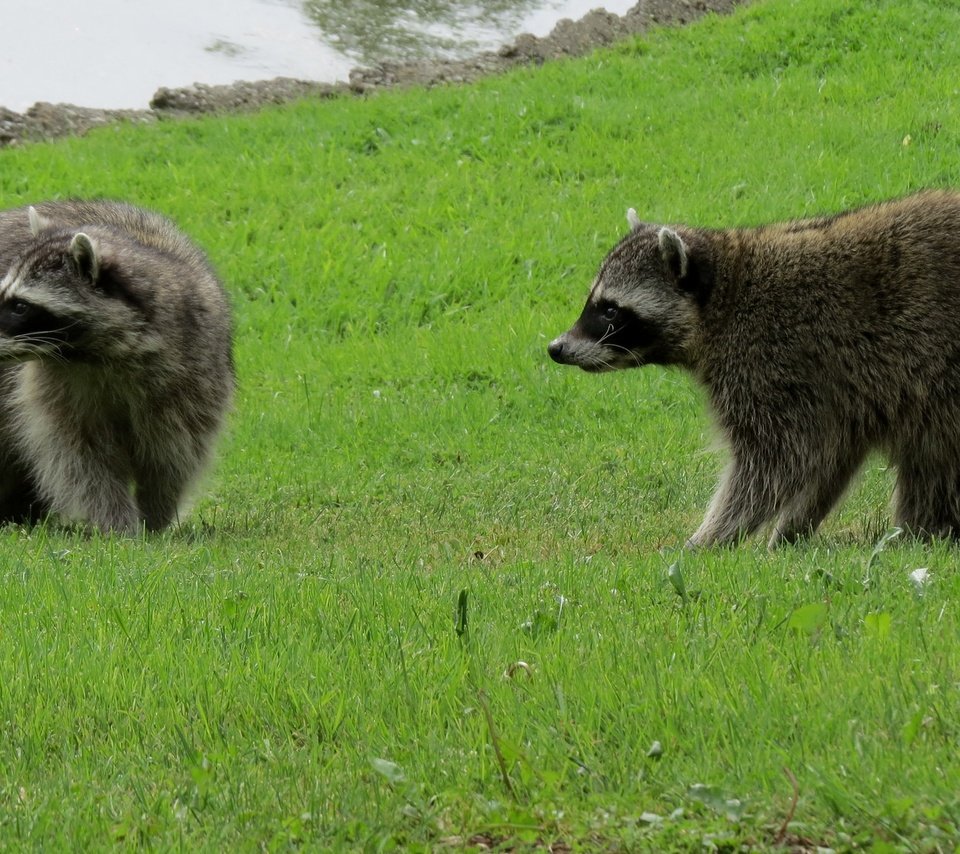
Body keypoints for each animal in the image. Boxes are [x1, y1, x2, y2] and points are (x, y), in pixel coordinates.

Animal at [0, 201, 233, 536]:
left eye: (20, 306)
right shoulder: (51, 386)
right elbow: (81, 458)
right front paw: (117, 522)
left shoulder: (192, 370)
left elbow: (173, 453)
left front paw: (155, 515)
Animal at [552, 190, 960, 548]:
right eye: (594, 303)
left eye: (610, 310)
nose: (555, 348)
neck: (725, 295)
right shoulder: (838, 392)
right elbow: (831, 459)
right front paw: (792, 530)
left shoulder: (770, 363)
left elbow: (774, 463)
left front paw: (709, 539)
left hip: (940, 368)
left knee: (934, 454)